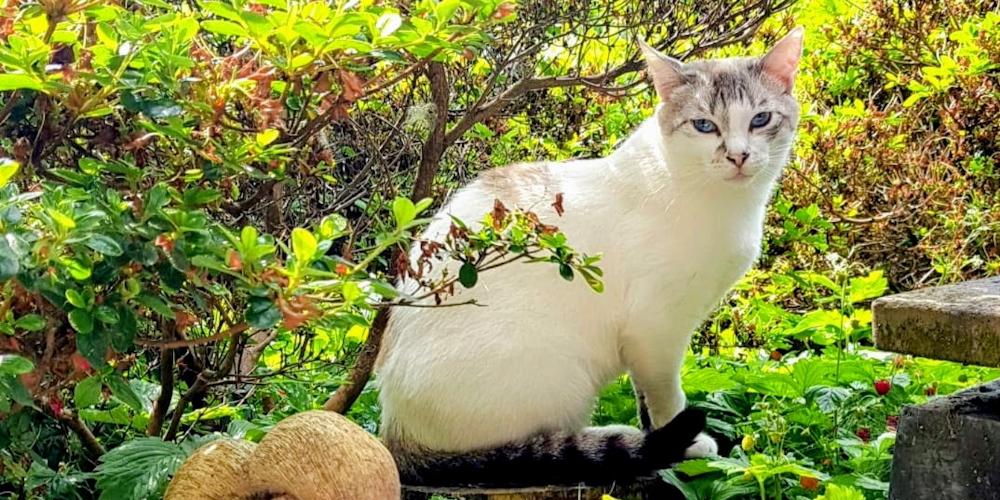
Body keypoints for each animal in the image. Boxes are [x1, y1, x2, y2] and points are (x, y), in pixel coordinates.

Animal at [376, 27, 804, 486]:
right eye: (704, 125)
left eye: (760, 119)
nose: (738, 156)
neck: (722, 203)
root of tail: (394, 434)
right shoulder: (656, 329)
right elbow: (667, 396)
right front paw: (685, 449)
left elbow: (645, 398)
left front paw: (660, 438)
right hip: (555, 375)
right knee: (528, 449)